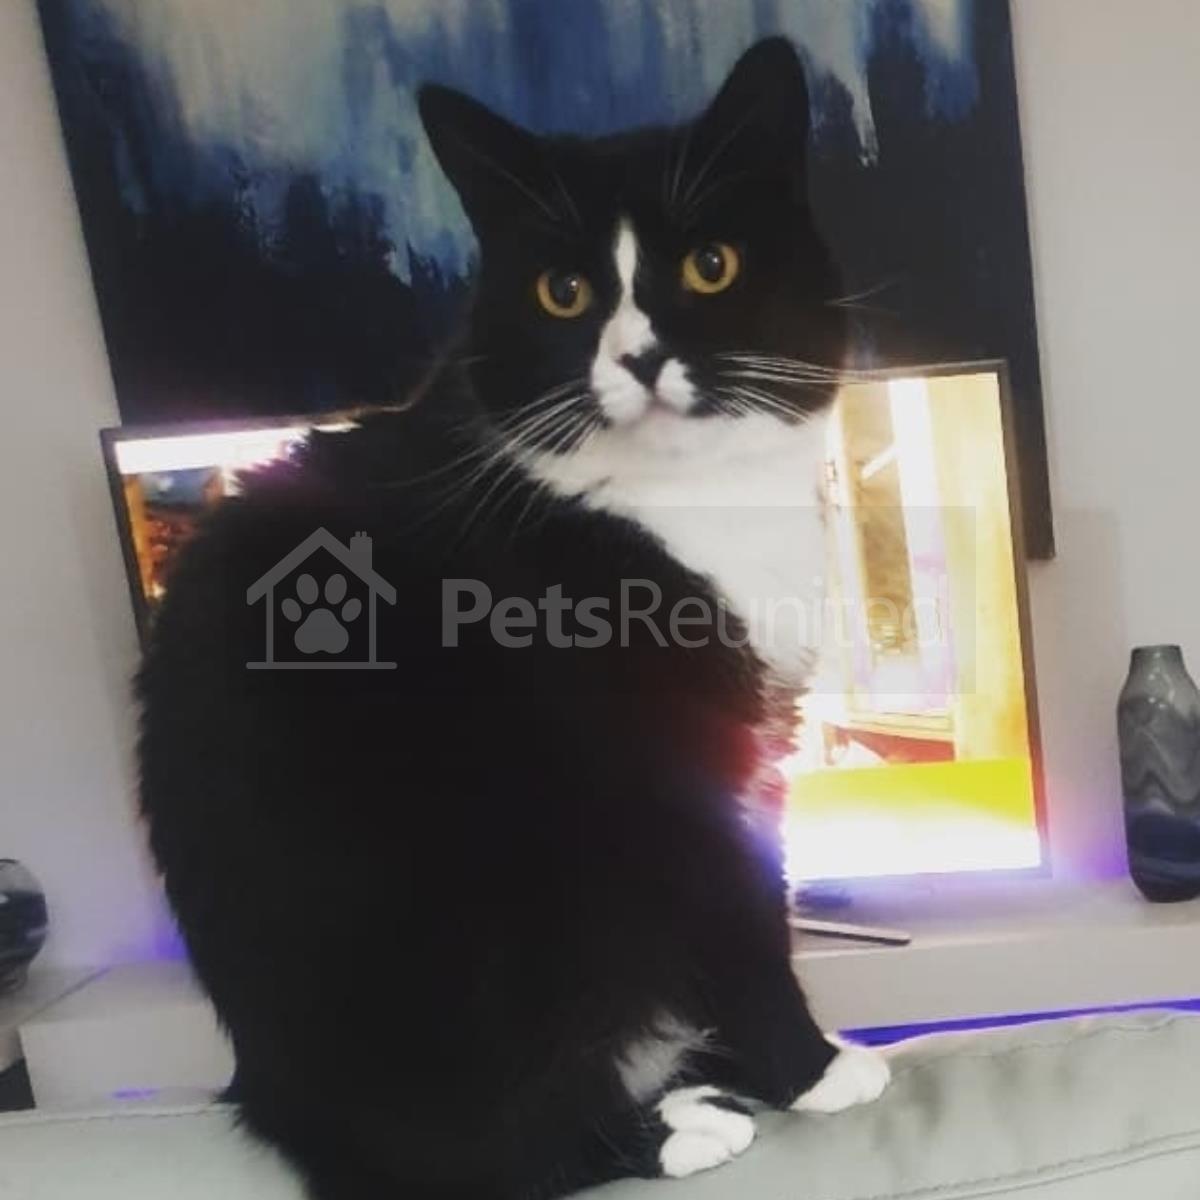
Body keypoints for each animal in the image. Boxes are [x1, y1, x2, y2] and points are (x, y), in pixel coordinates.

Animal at [137, 37, 889, 1200]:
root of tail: (280, 1108)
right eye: (563, 291)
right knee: (486, 1155)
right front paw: (811, 1070)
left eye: (710, 265)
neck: (688, 500)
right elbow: (743, 918)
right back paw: (662, 1132)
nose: (636, 356)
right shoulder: (673, 770)